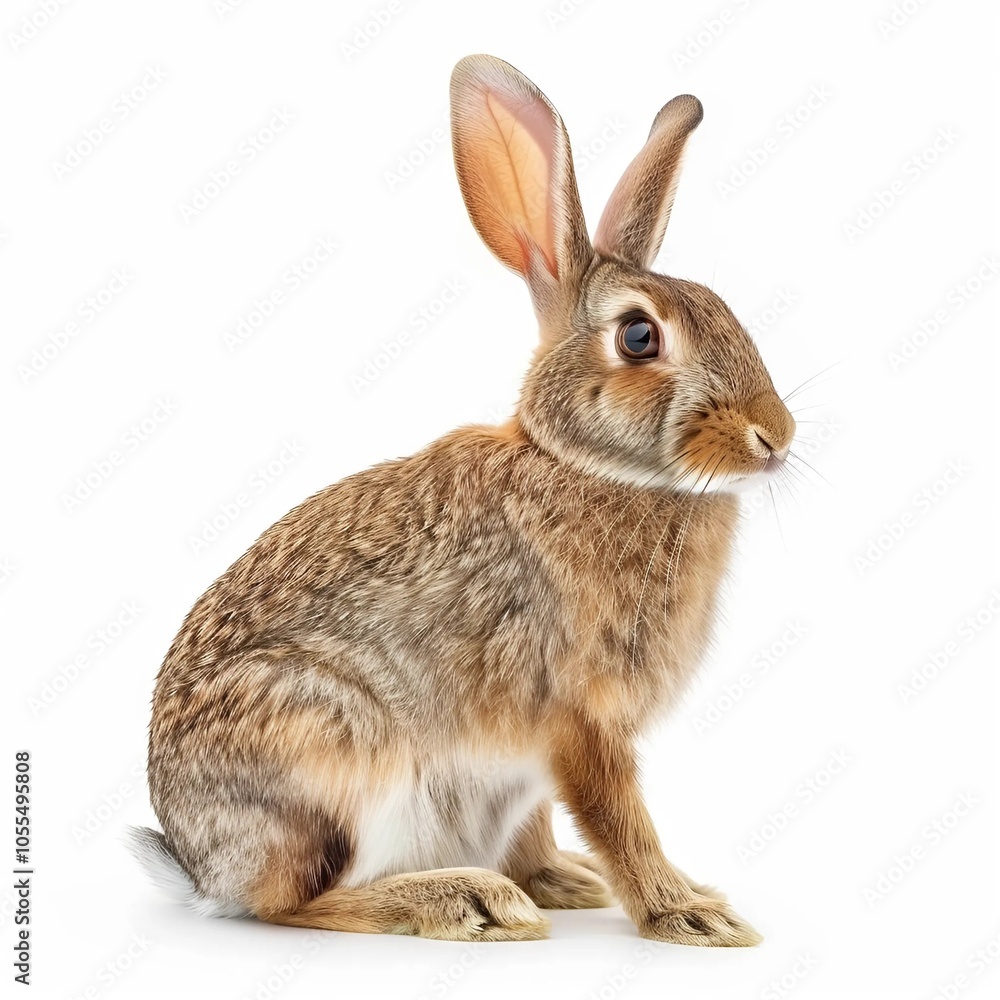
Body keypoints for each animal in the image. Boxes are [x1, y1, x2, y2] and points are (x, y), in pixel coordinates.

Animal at [127, 53, 795, 946]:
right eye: (639, 336)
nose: (775, 436)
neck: (586, 465)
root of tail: (199, 866)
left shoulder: (532, 764)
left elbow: (546, 818)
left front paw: (570, 880)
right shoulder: (578, 717)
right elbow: (618, 816)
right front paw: (689, 914)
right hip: (335, 753)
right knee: (293, 904)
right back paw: (467, 900)